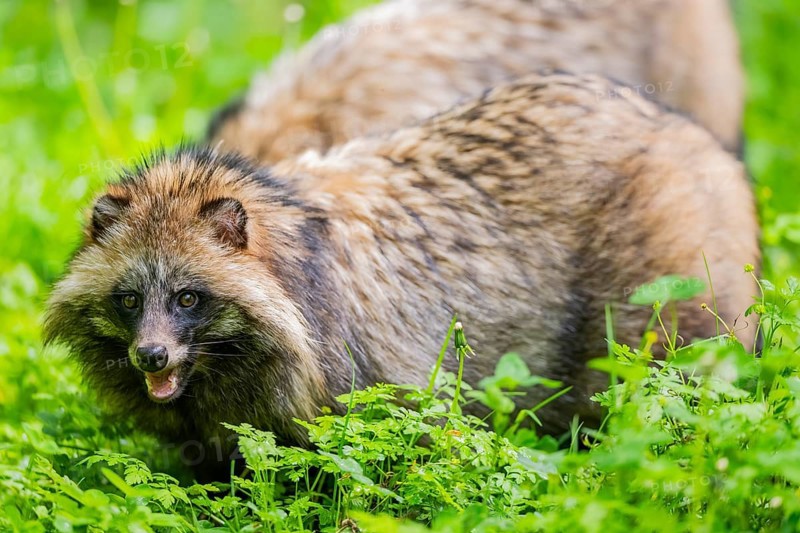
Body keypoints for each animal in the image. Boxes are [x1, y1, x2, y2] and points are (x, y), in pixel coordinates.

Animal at [45, 73, 758, 478]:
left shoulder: (377, 394)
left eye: (189, 297)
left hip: (654, 317)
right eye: (129, 300)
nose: (150, 356)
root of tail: (692, 137)